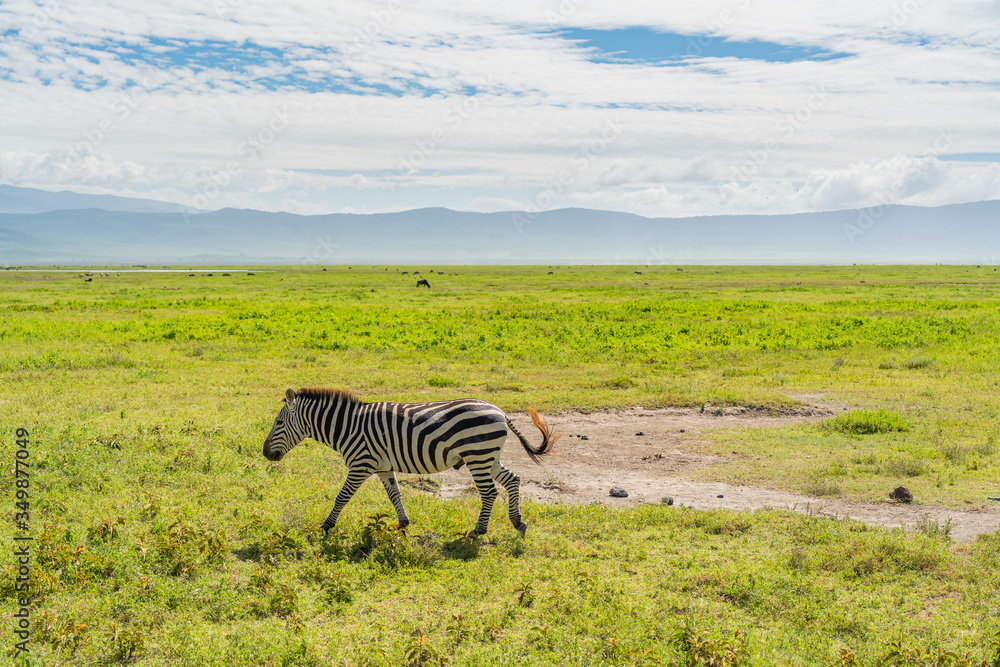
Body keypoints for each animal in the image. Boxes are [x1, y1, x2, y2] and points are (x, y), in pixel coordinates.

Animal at [263, 387, 558, 536]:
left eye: (278, 422)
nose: (265, 453)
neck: (347, 426)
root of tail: (500, 411)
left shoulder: (360, 464)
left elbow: (342, 497)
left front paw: (326, 527)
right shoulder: (383, 467)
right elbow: (395, 495)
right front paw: (402, 524)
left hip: (477, 456)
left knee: (489, 492)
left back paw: (479, 531)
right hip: (489, 456)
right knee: (512, 480)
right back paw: (517, 522)